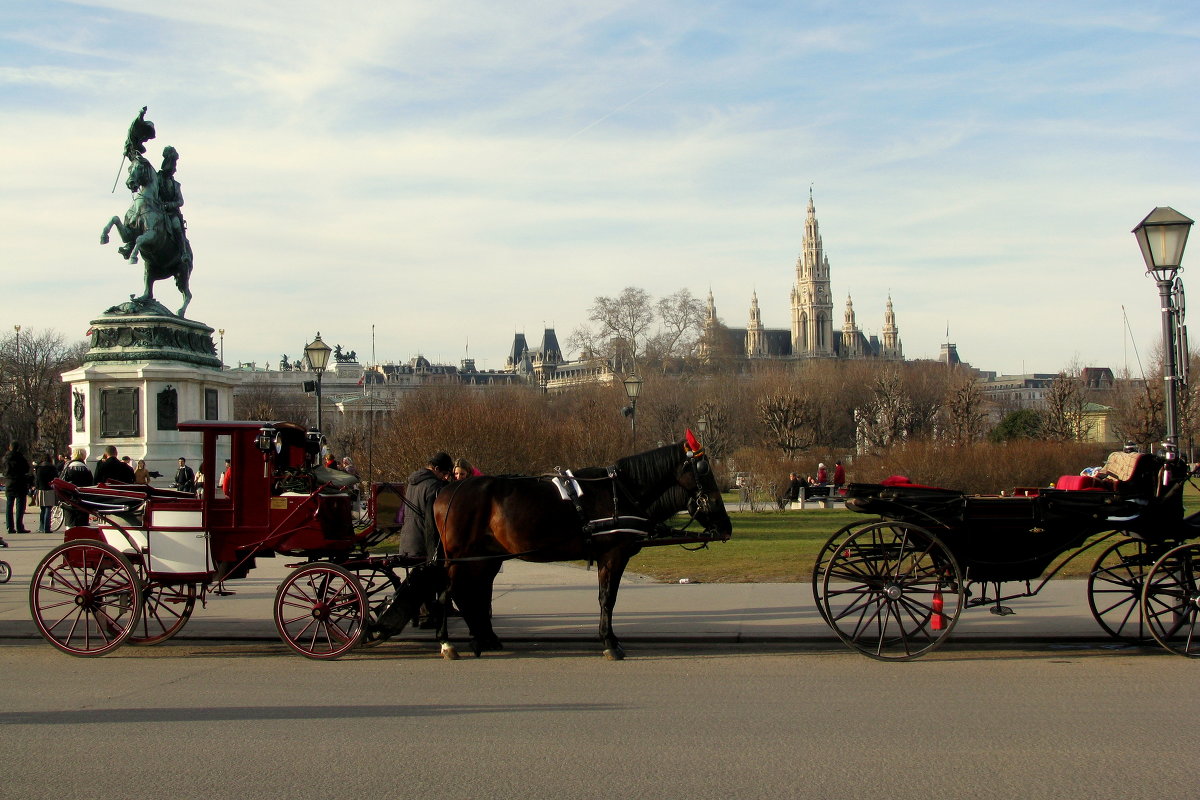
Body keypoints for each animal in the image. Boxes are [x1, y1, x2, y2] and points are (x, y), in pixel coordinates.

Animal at [432, 434, 729, 662]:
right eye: (704, 469)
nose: (726, 524)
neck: (620, 492)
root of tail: (449, 490)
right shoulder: (613, 555)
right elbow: (607, 598)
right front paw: (609, 642)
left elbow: (605, 597)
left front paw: (609, 639)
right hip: (462, 557)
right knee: (449, 593)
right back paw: (449, 643)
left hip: (485, 557)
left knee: (470, 594)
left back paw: (483, 638)